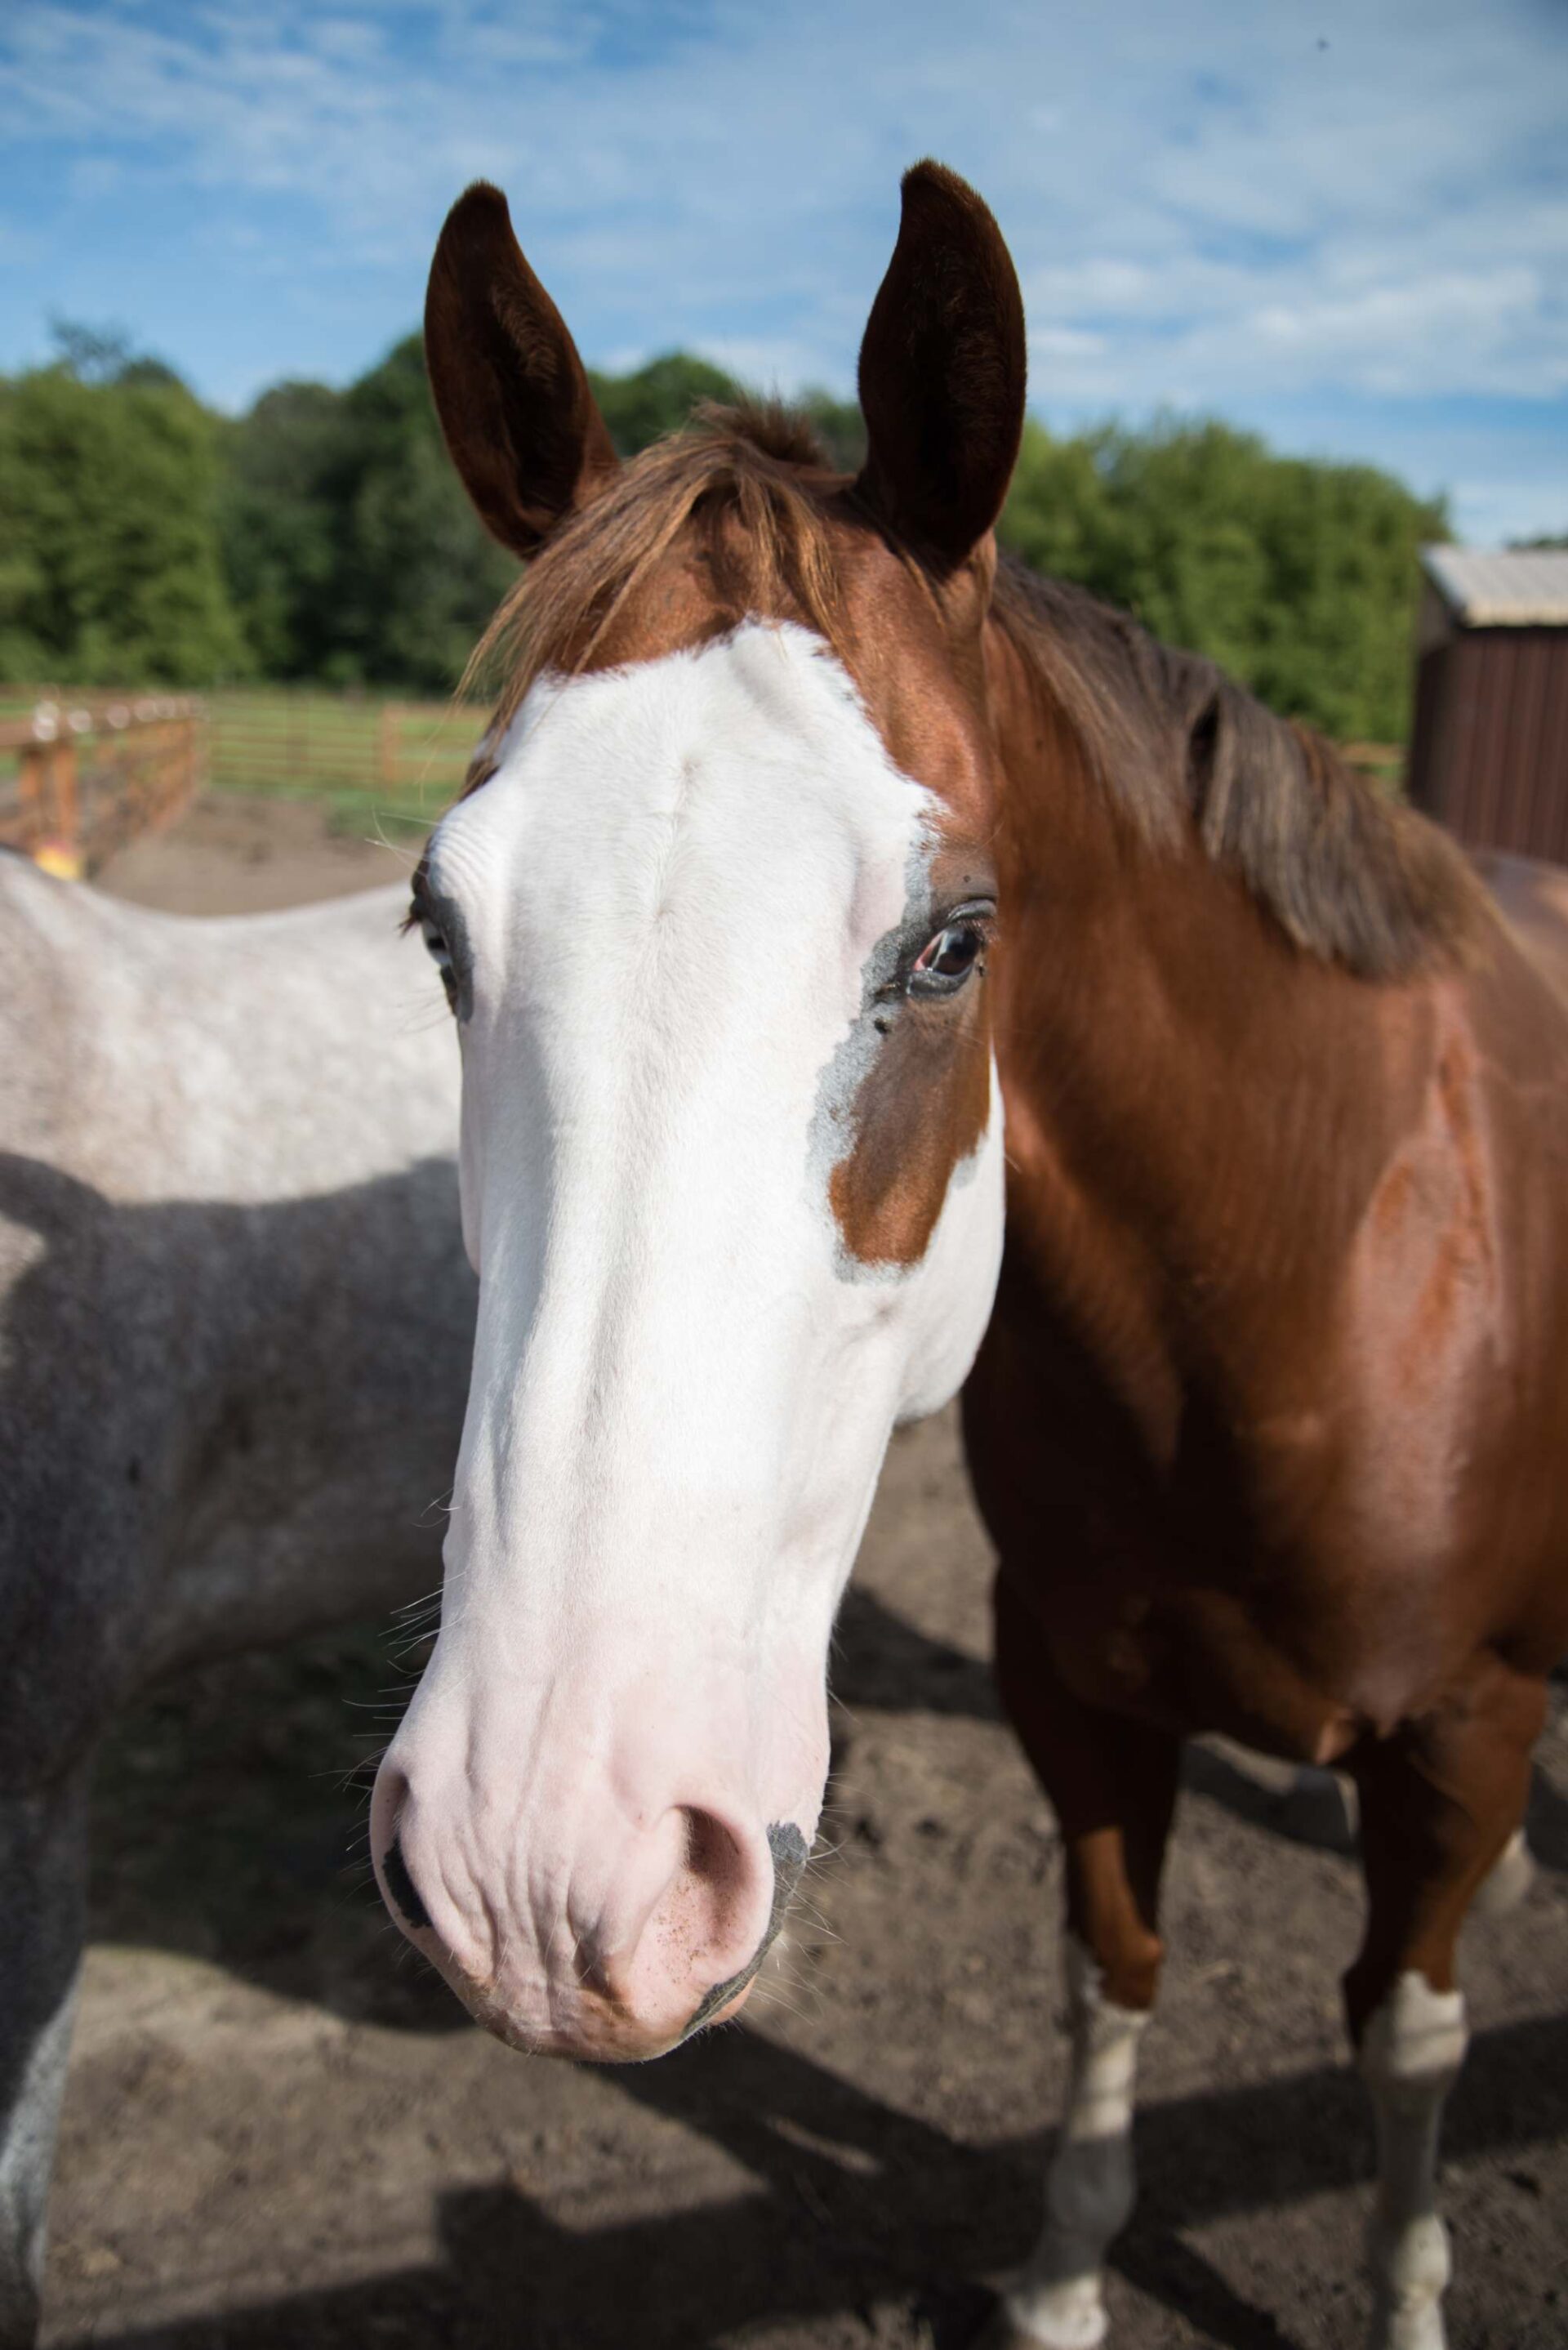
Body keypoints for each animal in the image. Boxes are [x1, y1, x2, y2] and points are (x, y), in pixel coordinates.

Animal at [376, 165, 1568, 2350]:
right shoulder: (1074, 1691)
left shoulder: (1459, 1733)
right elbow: (1111, 1973)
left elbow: (1406, 2038)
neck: (1311, 1282)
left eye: (950, 945)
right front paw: (1068, 2276)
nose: (543, 1864)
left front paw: (1408, 2291)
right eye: (439, 927)